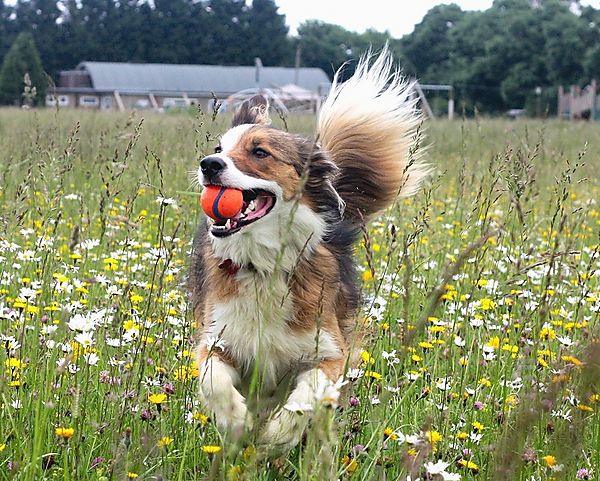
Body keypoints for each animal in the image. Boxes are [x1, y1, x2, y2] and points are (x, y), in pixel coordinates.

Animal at [190, 47, 428, 452]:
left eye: (259, 152)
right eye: (219, 149)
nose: (209, 165)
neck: (264, 264)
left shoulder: (329, 352)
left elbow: (309, 392)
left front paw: (279, 434)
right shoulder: (219, 337)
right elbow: (212, 377)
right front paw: (236, 421)